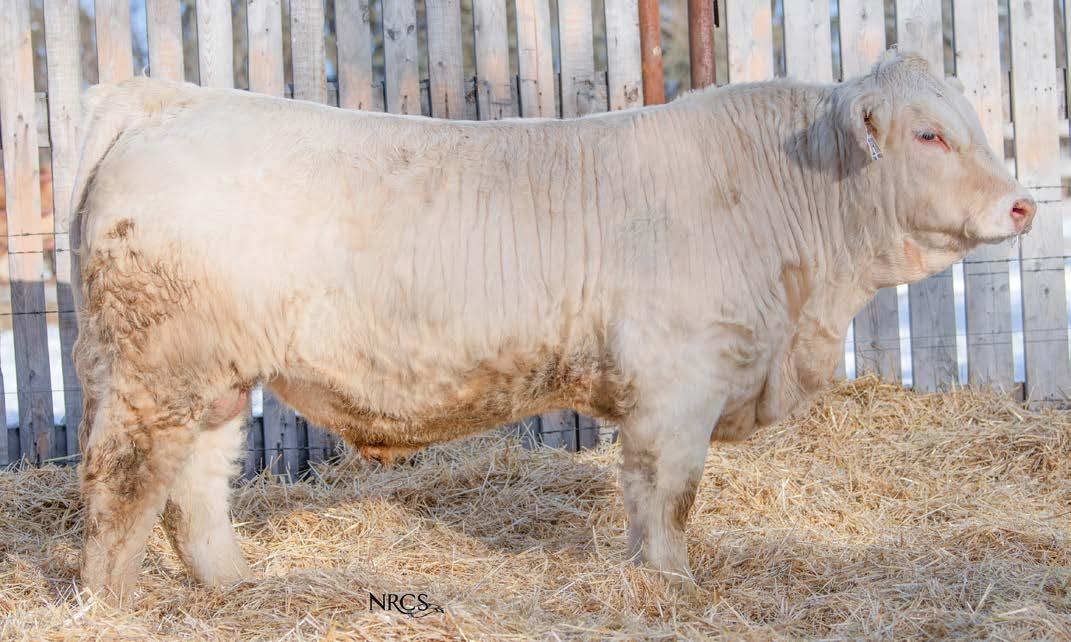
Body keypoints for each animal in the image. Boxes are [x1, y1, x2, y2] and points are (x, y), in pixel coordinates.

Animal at [69, 50, 1035, 602]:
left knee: (194, 486)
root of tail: (169, 100)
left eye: (973, 122)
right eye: (928, 135)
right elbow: (669, 494)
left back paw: (231, 586)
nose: (1022, 203)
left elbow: (648, 496)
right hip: (154, 369)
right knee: (123, 480)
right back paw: (112, 606)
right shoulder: (678, 386)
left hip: (216, 377)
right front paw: (673, 588)